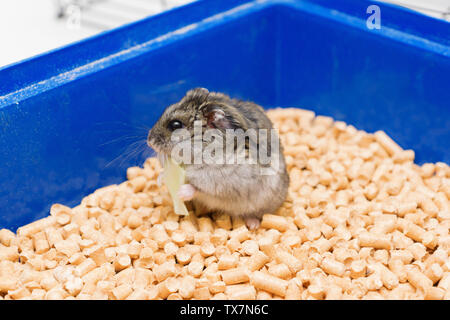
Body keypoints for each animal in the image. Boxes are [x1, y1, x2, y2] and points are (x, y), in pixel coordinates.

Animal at [148, 86, 288, 229]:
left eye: (175, 125)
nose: (149, 141)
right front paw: (160, 179)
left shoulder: (221, 184)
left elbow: (198, 189)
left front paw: (181, 192)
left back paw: (253, 225)